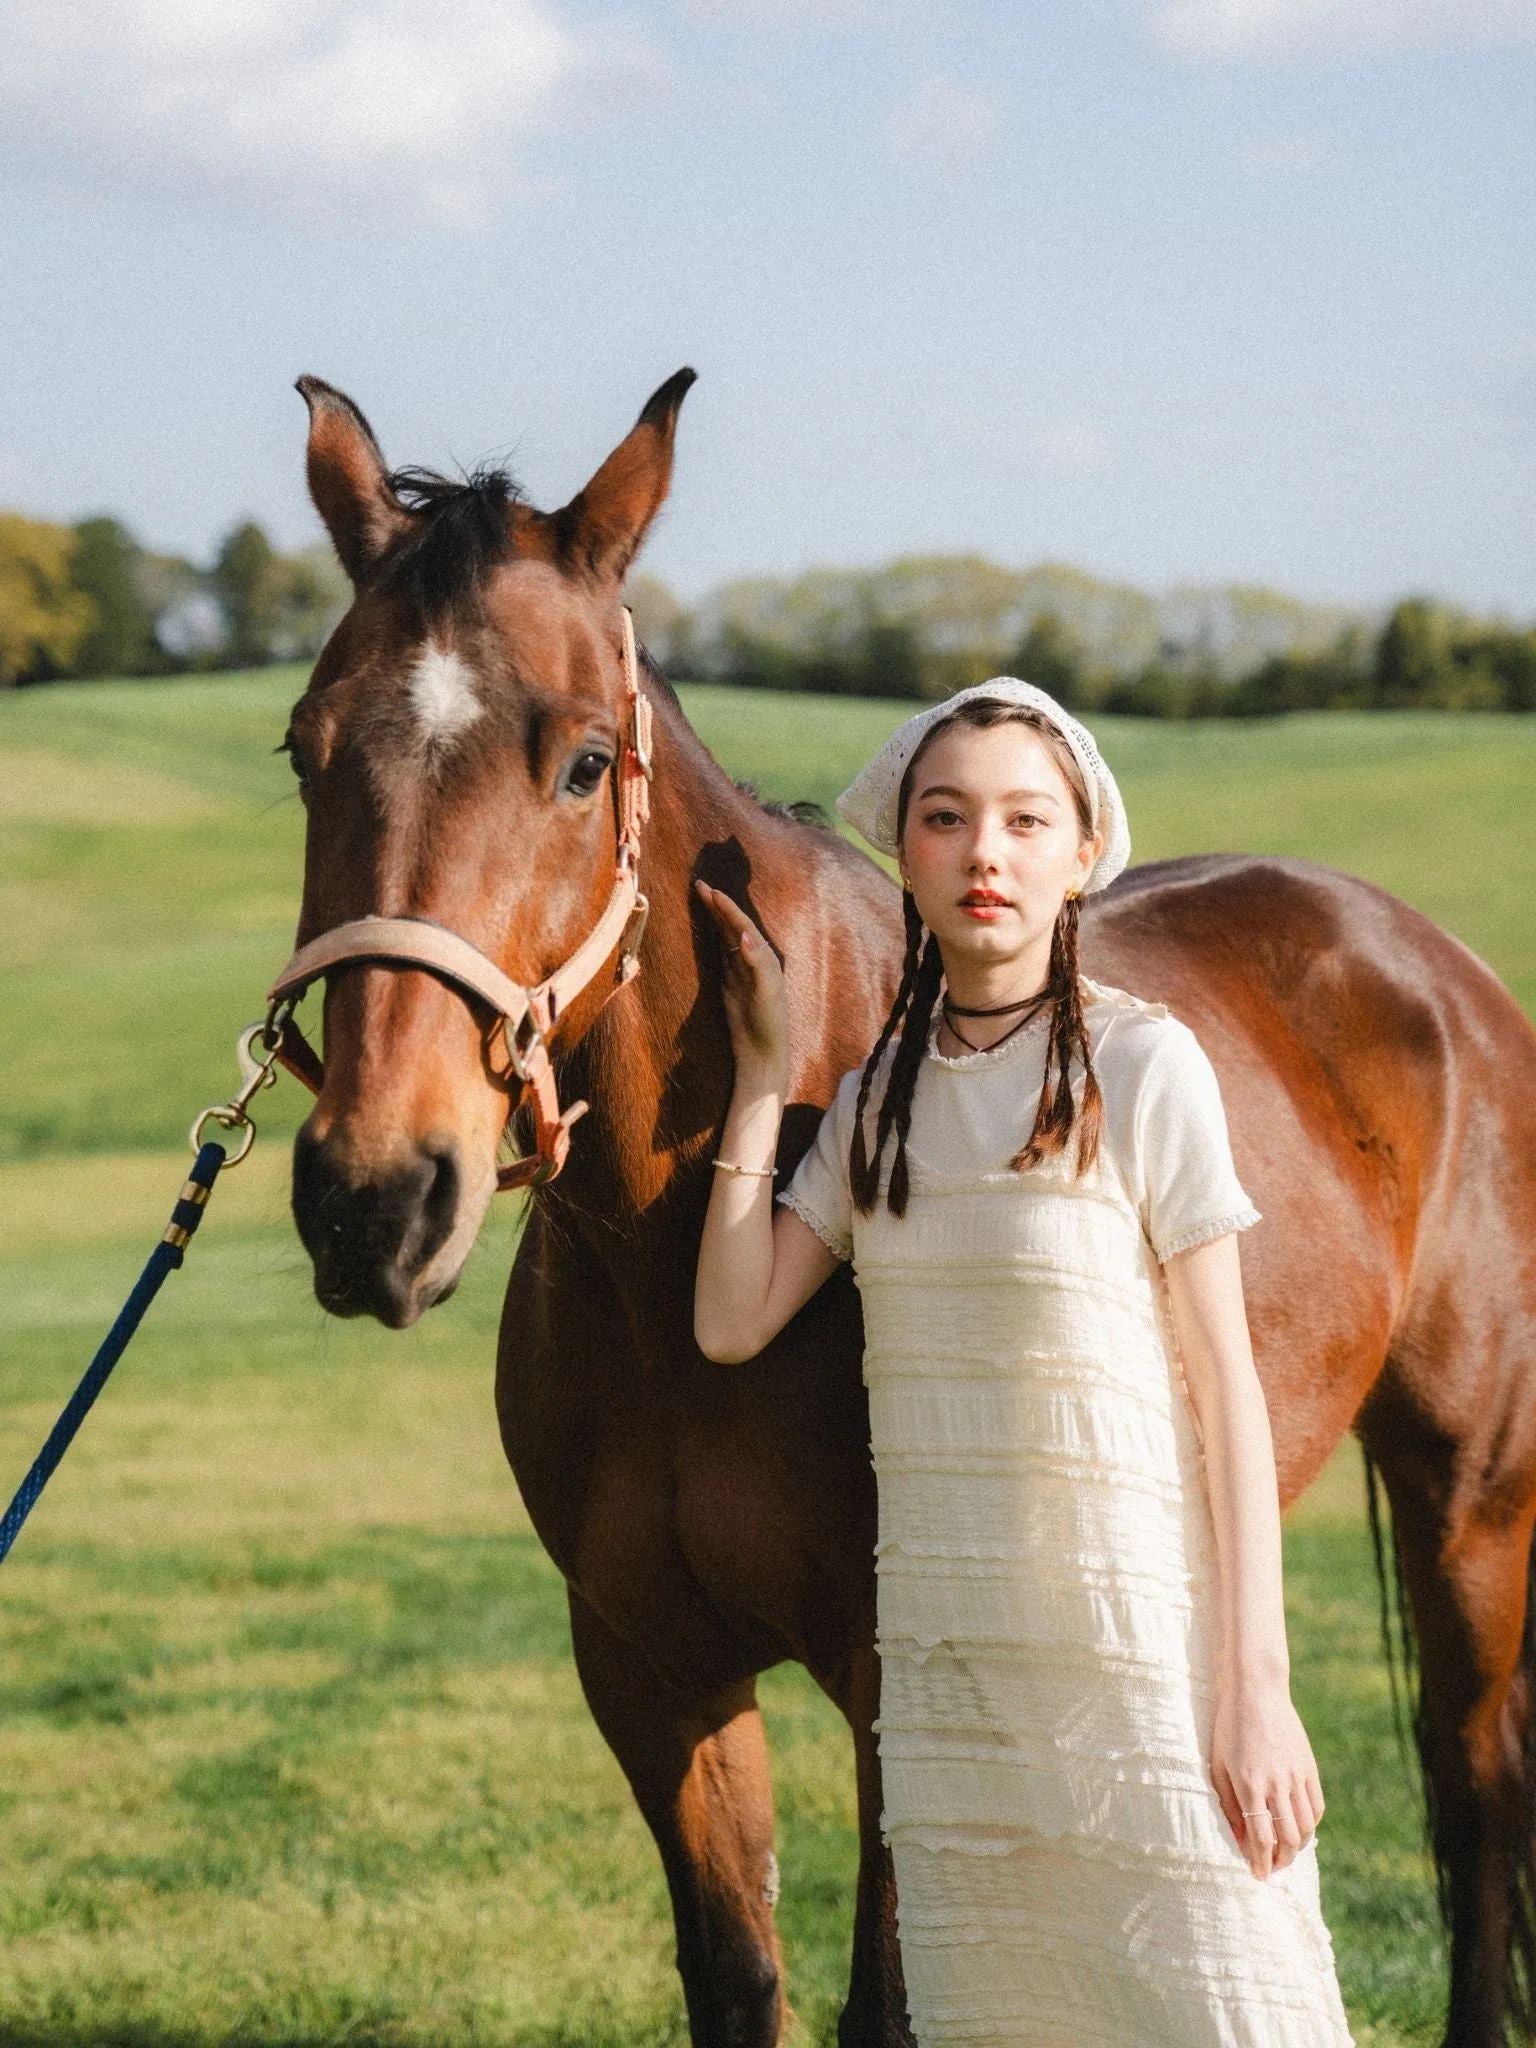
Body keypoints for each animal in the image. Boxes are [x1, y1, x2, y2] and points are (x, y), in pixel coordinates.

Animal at [282, 372, 1536, 2048]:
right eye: (306, 751)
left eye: (584, 762)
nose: (374, 1198)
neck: (674, 1285)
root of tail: (1434, 970)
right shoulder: (651, 1676)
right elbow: (737, 1979)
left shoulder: (901, 1691)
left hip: (1473, 1500)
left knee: (1476, 1804)